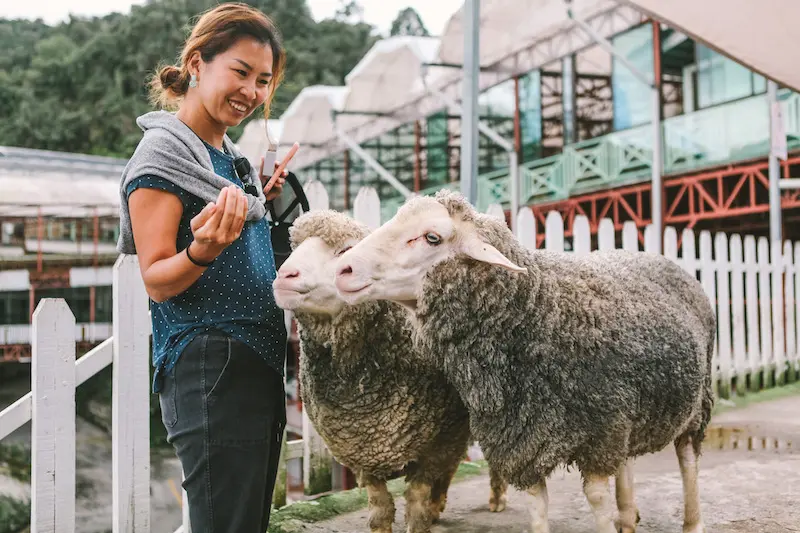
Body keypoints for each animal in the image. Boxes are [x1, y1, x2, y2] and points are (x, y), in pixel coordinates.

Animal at [272, 210, 504, 528]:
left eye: (344, 250)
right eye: (295, 247)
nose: (285, 275)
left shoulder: (440, 441)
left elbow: (416, 502)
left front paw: (420, 519)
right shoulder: (362, 452)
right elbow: (380, 508)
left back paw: (496, 498)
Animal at [334, 188, 716, 532]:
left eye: (432, 237)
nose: (343, 269)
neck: (538, 313)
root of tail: (657, 256)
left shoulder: (601, 429)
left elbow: (596, 498)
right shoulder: (524, 435)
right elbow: (537, 504)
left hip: (696, 401)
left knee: (688, 459)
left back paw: (692, 521)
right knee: (627, 464)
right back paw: (628, 517)